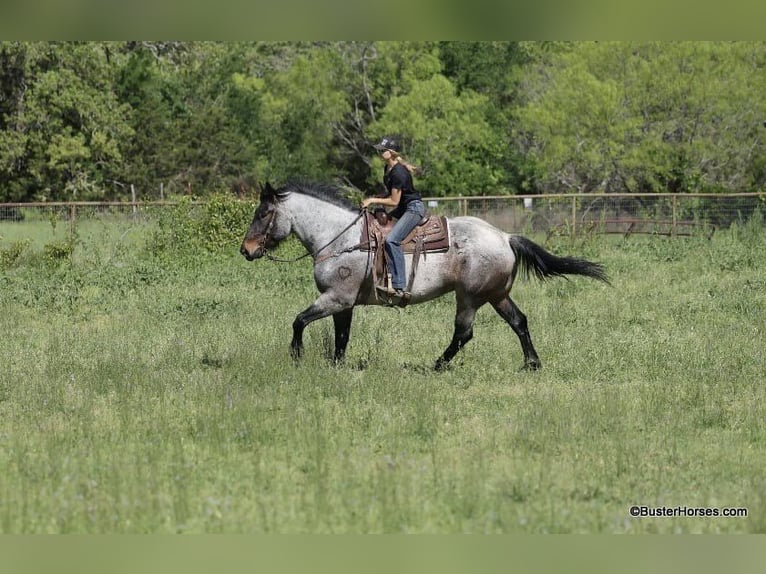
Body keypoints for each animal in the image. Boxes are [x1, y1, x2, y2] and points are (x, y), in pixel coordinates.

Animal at [242, 183, 612, 374]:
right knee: (519, 321)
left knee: (464, 333)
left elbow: (299, 320)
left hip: (469, 297)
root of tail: (505, 236)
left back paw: (436, 365)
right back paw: (532, 363)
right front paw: (336, 365)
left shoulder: (336, 298)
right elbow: (341, 337)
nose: (246, 250)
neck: (340, 238)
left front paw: (297, 356)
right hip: (496, 295)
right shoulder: (343, 303)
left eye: (263, 213)